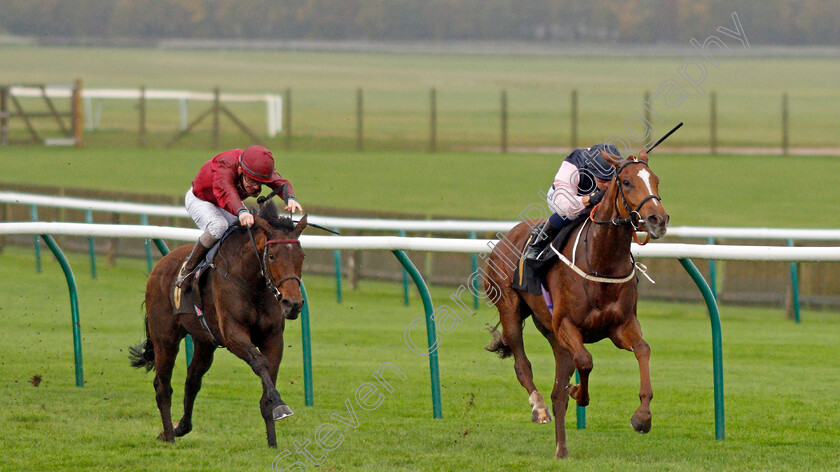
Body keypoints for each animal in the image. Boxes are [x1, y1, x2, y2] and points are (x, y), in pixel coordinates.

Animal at [128, 201, 306, 448]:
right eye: (271, 256)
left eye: (302, 256)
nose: (293, 304)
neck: (253, 283)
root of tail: (159, 267)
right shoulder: (233, 334)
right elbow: (259, 362)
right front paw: (281, 406)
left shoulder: (273, 338)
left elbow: (268, 376)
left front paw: (273, 442)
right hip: (165, 338)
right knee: (162, 386)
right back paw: (170, 436)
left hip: (205, 341)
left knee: (192, 380)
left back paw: (180, 427)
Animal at [486, 148, 668, 458]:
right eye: (627, 182)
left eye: (655, 179)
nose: (658, 219)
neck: (601, 260)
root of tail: (505, 237)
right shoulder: (566, 325)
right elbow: (586, 360)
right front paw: (578, 393)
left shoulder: (621, 326)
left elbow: (643, 350)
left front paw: (642, 416)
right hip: (511, 309)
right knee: (522, 364)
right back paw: (539, 407)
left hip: (554, 338)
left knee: (556, 391)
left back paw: (562, 450)